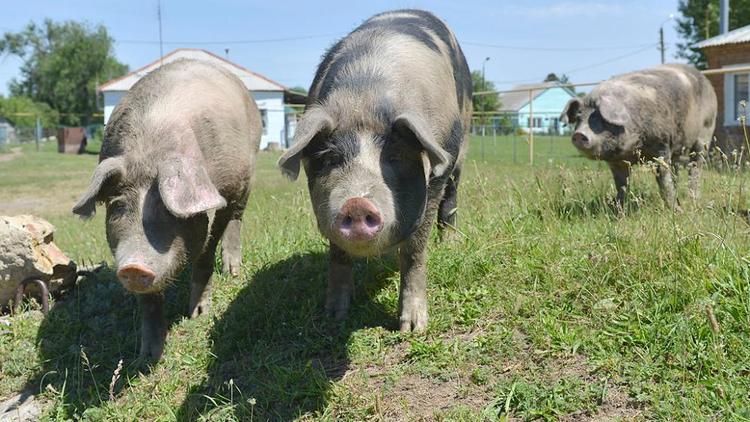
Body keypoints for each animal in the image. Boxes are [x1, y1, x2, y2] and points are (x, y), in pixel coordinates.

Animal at [73, 59, 262, 360]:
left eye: (166, 208)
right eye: (118, 206)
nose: (134, 266)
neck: (148, 150)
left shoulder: (221, 193)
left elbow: (205, 254)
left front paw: (198, 314)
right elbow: (149, 302)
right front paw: (147, 356)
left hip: (246, 176)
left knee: (236, 217)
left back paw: (233, 271)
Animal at [280, 8, 472, 332]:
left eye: (394, 156)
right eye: (330, 157)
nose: (357, 203)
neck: (363, 100)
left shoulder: (435, 178)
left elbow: (415, 249)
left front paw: (413, 328)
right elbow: (338, 256)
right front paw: (334, 315)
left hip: (460, 149)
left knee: (451, 200)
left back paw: (452, 244)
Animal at [564, 63, 716, 209]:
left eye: (600, 117)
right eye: (579, 118)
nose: (579, 134)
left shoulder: (662, 146)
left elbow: (663, 178)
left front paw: (674, 210)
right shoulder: (617, 163)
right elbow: (622, 186)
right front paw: (618, 211)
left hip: (705, 132)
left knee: (695, 165)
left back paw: (693, 199)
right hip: (678, 148)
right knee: (676, 169)